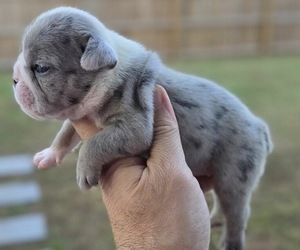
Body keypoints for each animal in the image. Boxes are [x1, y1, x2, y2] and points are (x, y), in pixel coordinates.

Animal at [13, 6, 272, 249]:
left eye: (41, 68)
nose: (14, 80)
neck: (108, 75)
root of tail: (259, 126)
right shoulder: (79, 114)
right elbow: (65, 134)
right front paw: (49, 155)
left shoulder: (135, 127)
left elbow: (95, 142)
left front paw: (84, 171)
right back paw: (216, 218)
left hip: (235, 173)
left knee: (238, 211)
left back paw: (231, 240)